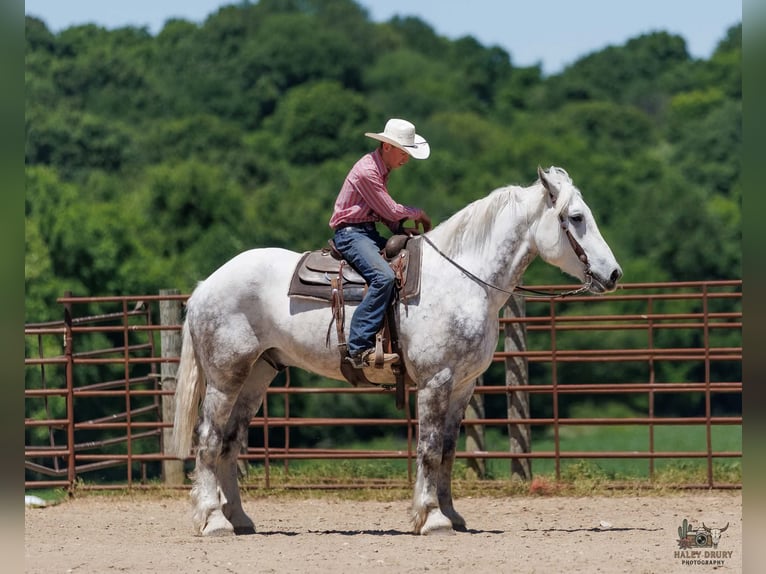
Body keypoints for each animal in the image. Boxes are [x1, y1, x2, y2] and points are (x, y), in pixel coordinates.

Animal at [171, 165, 622, 536]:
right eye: (576, 218)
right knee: (209, 440)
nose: (614, 274)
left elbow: (447, 450)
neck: (462, 279)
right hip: (225, 376)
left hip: (257, 375)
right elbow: (428, 448)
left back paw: (239, 519)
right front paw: (432, 518)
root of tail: (206, 285)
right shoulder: (436, 381)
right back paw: (213, 520)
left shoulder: (463, 386)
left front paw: (451, 514)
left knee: (230, 443)